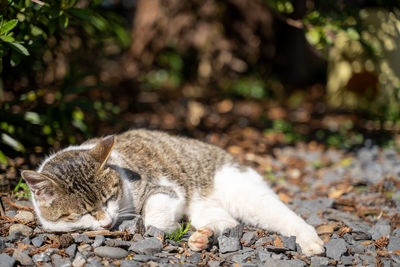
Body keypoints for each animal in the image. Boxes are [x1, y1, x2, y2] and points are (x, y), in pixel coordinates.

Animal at [21, 130, 324, 258]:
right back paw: (202, 238)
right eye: (82, 213)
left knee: (286, 217)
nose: (106, 222)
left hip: (245, 195)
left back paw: (311, 243)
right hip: (205, 210)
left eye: (108, 199)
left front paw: (161, 227)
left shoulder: (166, 188)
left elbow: (154, 214)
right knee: (227, 223)